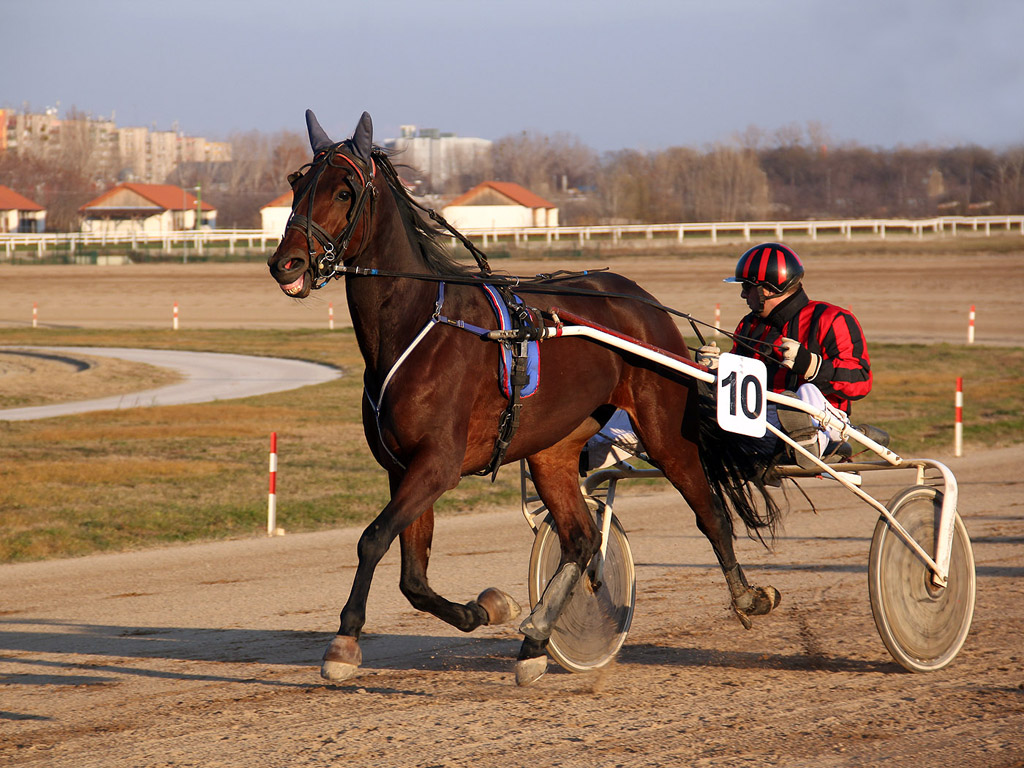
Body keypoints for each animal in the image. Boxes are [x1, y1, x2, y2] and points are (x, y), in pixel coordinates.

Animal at [268, 108, 778, 684]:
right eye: (297, 185)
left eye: (344, 190)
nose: (286, 264)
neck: (419, 325)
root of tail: (641, 300)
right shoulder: (403, 469)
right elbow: (413, 579)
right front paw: (488, 608)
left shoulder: (437, 465)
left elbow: (372, 539)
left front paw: (344, 641)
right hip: (551, 448)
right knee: (581, 539)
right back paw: (535, 638)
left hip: (664, 429)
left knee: (709, 511)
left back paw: (747, 597)